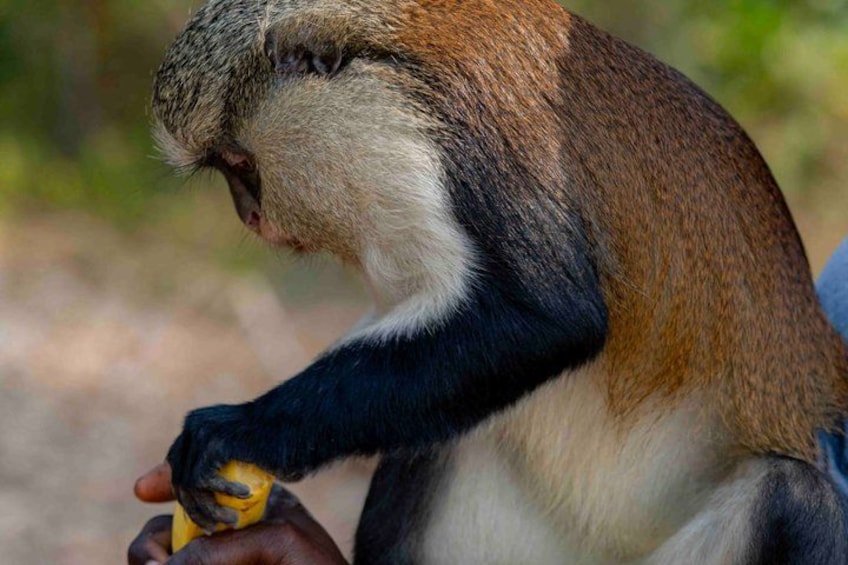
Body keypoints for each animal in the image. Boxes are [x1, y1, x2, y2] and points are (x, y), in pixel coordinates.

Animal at [151, 1, 848, 563]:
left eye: (240, 165)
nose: (250, 214)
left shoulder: (423, 145)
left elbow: (544, 319)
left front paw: (238, 428)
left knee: (797, 499)